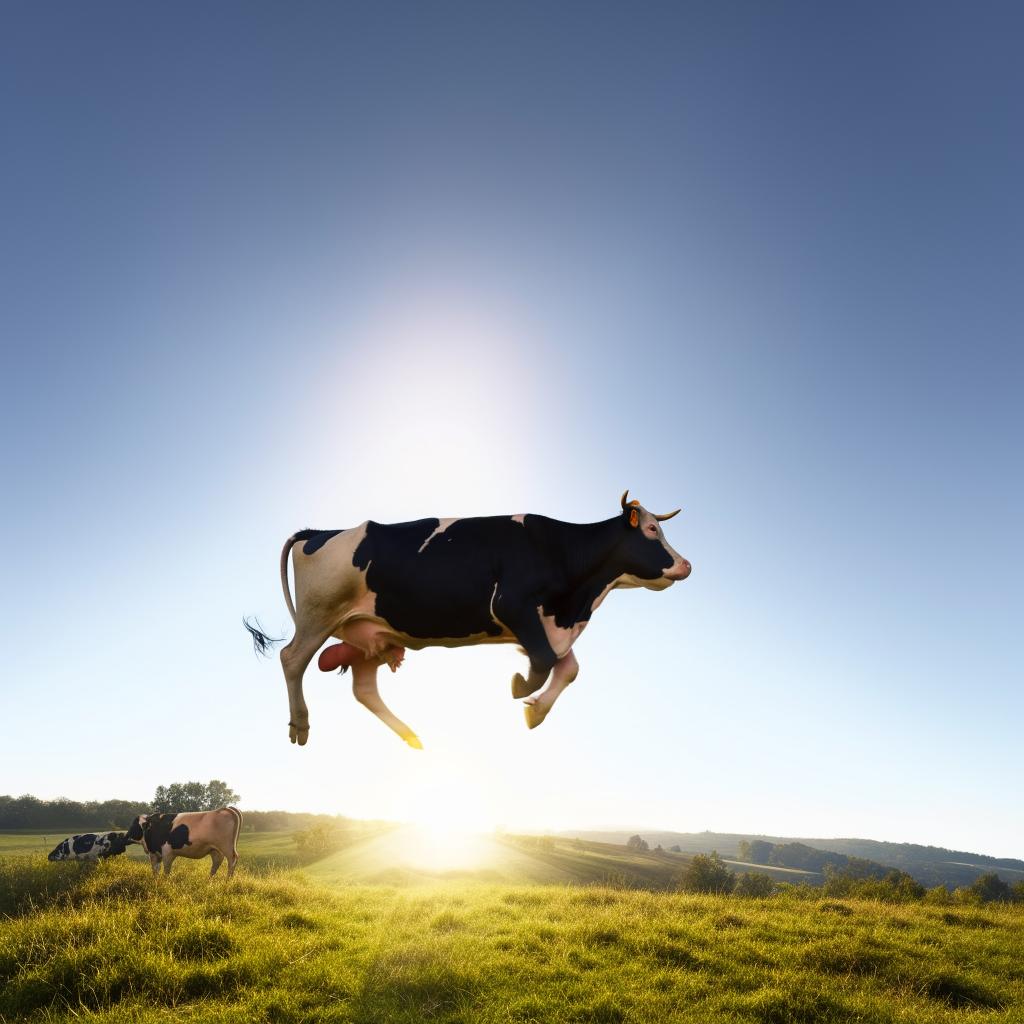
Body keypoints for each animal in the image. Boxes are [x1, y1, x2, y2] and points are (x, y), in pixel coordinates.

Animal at [244, 491, 692, 749]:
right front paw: (521, 687)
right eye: (651, 530)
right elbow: (545, 661)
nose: (686, 565)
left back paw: (411, 736)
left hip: (370, 633)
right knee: (292, 659)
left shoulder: (545, 623)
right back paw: (300, 725)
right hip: (318, 615)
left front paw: (535, 711)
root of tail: (319, 532)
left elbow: (568, 668)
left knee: (363, 689)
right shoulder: (512, 604)